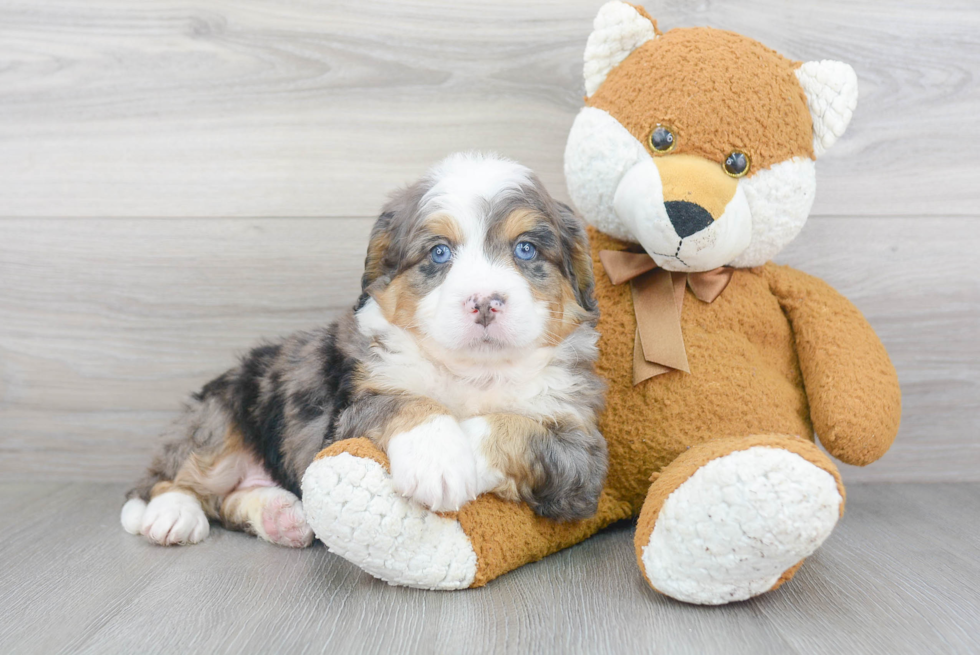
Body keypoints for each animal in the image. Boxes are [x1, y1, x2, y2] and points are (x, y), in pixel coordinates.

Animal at [119, 154, 608, 548]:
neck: (473, 370)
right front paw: (438, 457)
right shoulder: (347, 412)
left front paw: (460, 450)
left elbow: (513, 427)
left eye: (525, 248)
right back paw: (172, 516)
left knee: (228, 501)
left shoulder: (581, 456)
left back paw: (283, 517)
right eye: (439, 253)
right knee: (171, 478)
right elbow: (407, 401)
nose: (485, 301)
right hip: (222, 414)